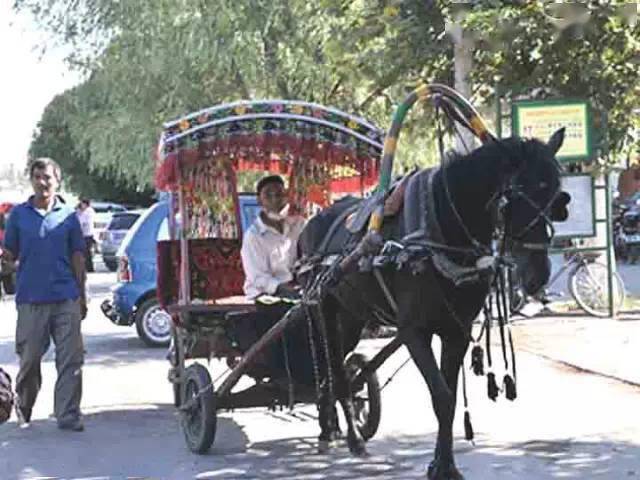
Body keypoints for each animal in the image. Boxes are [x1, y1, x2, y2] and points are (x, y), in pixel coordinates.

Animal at [298, 128, 568, 480]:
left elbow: (449, 397)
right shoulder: (414, 331)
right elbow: (440, 396)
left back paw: (331, 425)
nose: (538, 275)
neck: (441, 230)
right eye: (515, 198)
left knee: (337, 367)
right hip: (324, 308)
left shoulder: (455, 330)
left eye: (556, 198)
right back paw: (348, 437)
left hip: (354, 316)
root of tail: (309, 225)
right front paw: (441, 465)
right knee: (333, 369)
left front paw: (444, 463)